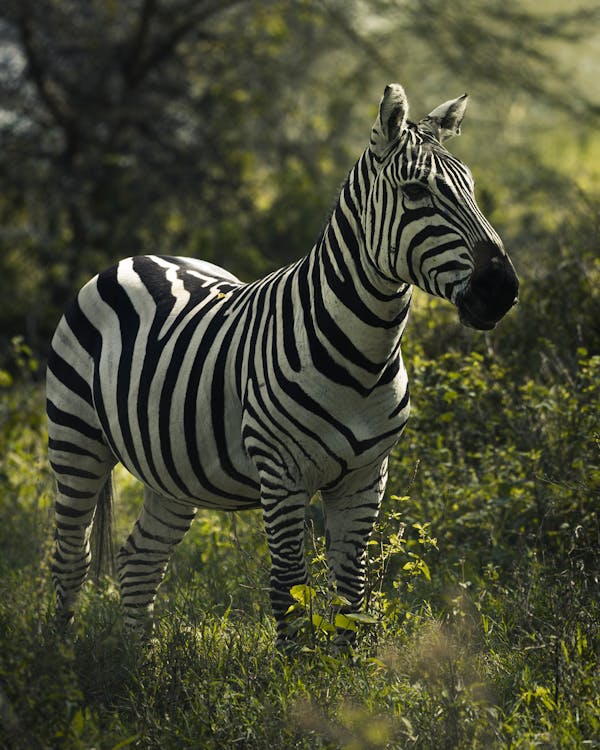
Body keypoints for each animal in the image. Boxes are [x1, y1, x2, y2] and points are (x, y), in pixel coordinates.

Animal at [47, 81, 516, 648]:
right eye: (416, 192)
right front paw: (299, 670)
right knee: (71, 558)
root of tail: (138, 258)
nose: (502, 289)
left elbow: (352, 589)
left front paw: (347, 666)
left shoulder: (367, 475)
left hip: (171, 468)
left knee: (141, 558)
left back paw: (137, 659)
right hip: (75, 438)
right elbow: (289, 586)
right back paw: (61, 659)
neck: (364, 356)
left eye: (471, 188)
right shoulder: (281, 473)